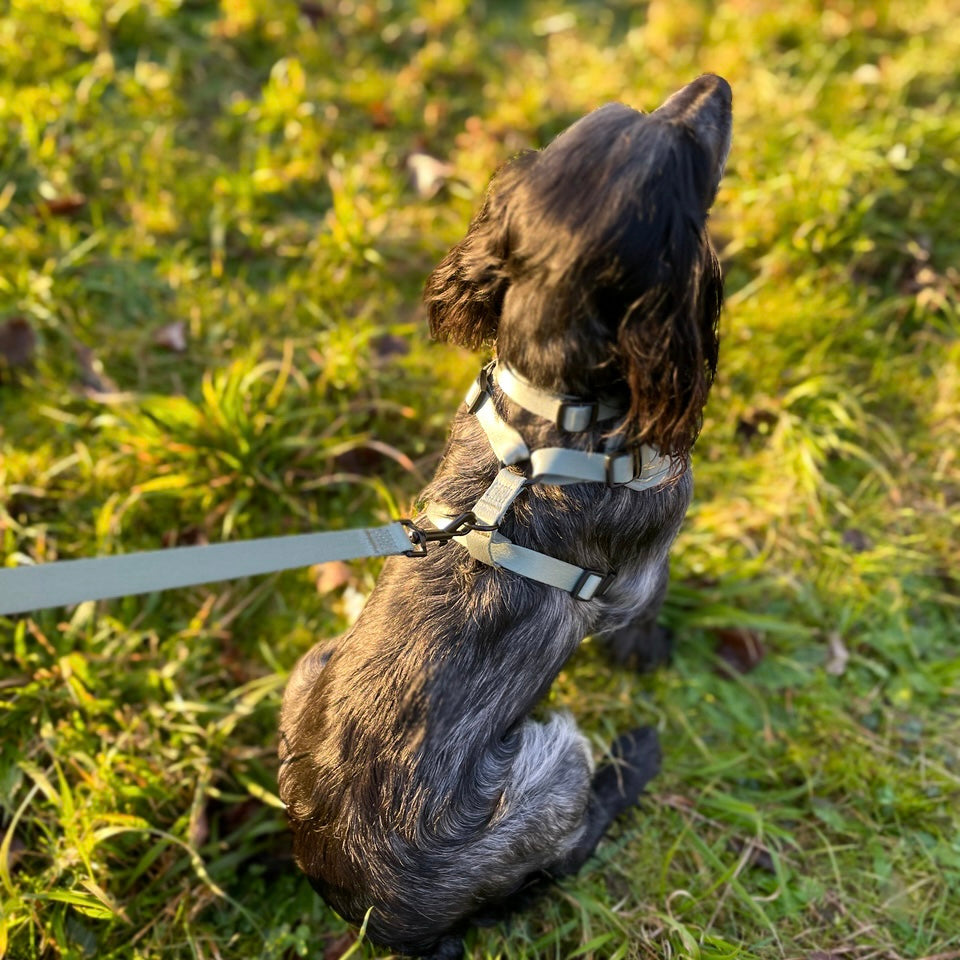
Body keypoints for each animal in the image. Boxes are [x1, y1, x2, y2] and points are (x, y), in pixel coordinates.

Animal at [282, 77, 732, 960]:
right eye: (692, 160)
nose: (717, 85)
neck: (554, 410)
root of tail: (377, 916)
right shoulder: (641, 574)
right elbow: (645, 622)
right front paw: (660, 656)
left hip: (309, 667)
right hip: (551, 770)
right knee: (572, 840)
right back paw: (635, 757)